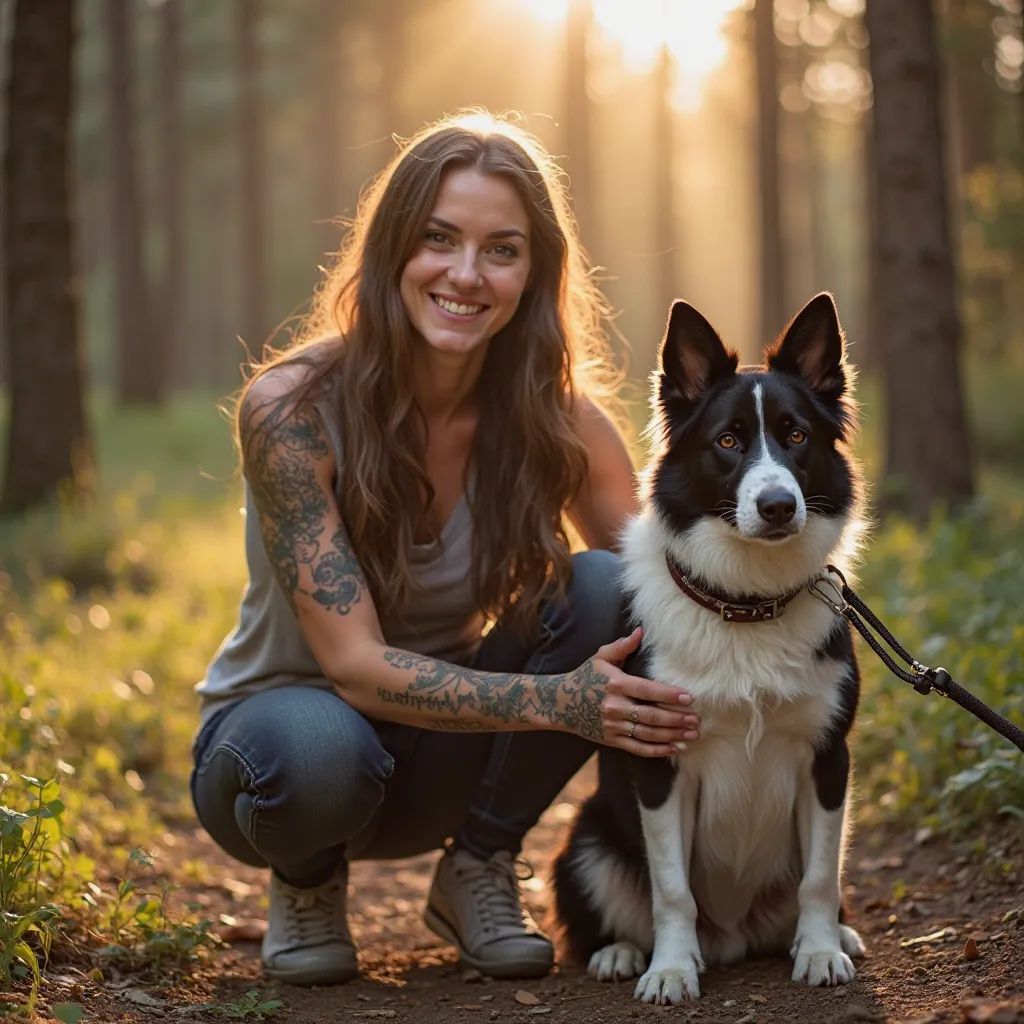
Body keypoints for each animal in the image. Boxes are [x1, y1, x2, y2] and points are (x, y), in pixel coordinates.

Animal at [552, 294, 864, 999]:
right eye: (727, 441)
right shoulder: (660, 761)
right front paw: (669, 969)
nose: (777, 506)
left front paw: (821, 952)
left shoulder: (827, 757)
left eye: (796, 436)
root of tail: (733, 938)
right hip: (586, 840)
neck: (746, 604)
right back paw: (623, 952)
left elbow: (820, 877)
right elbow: (672, 890)